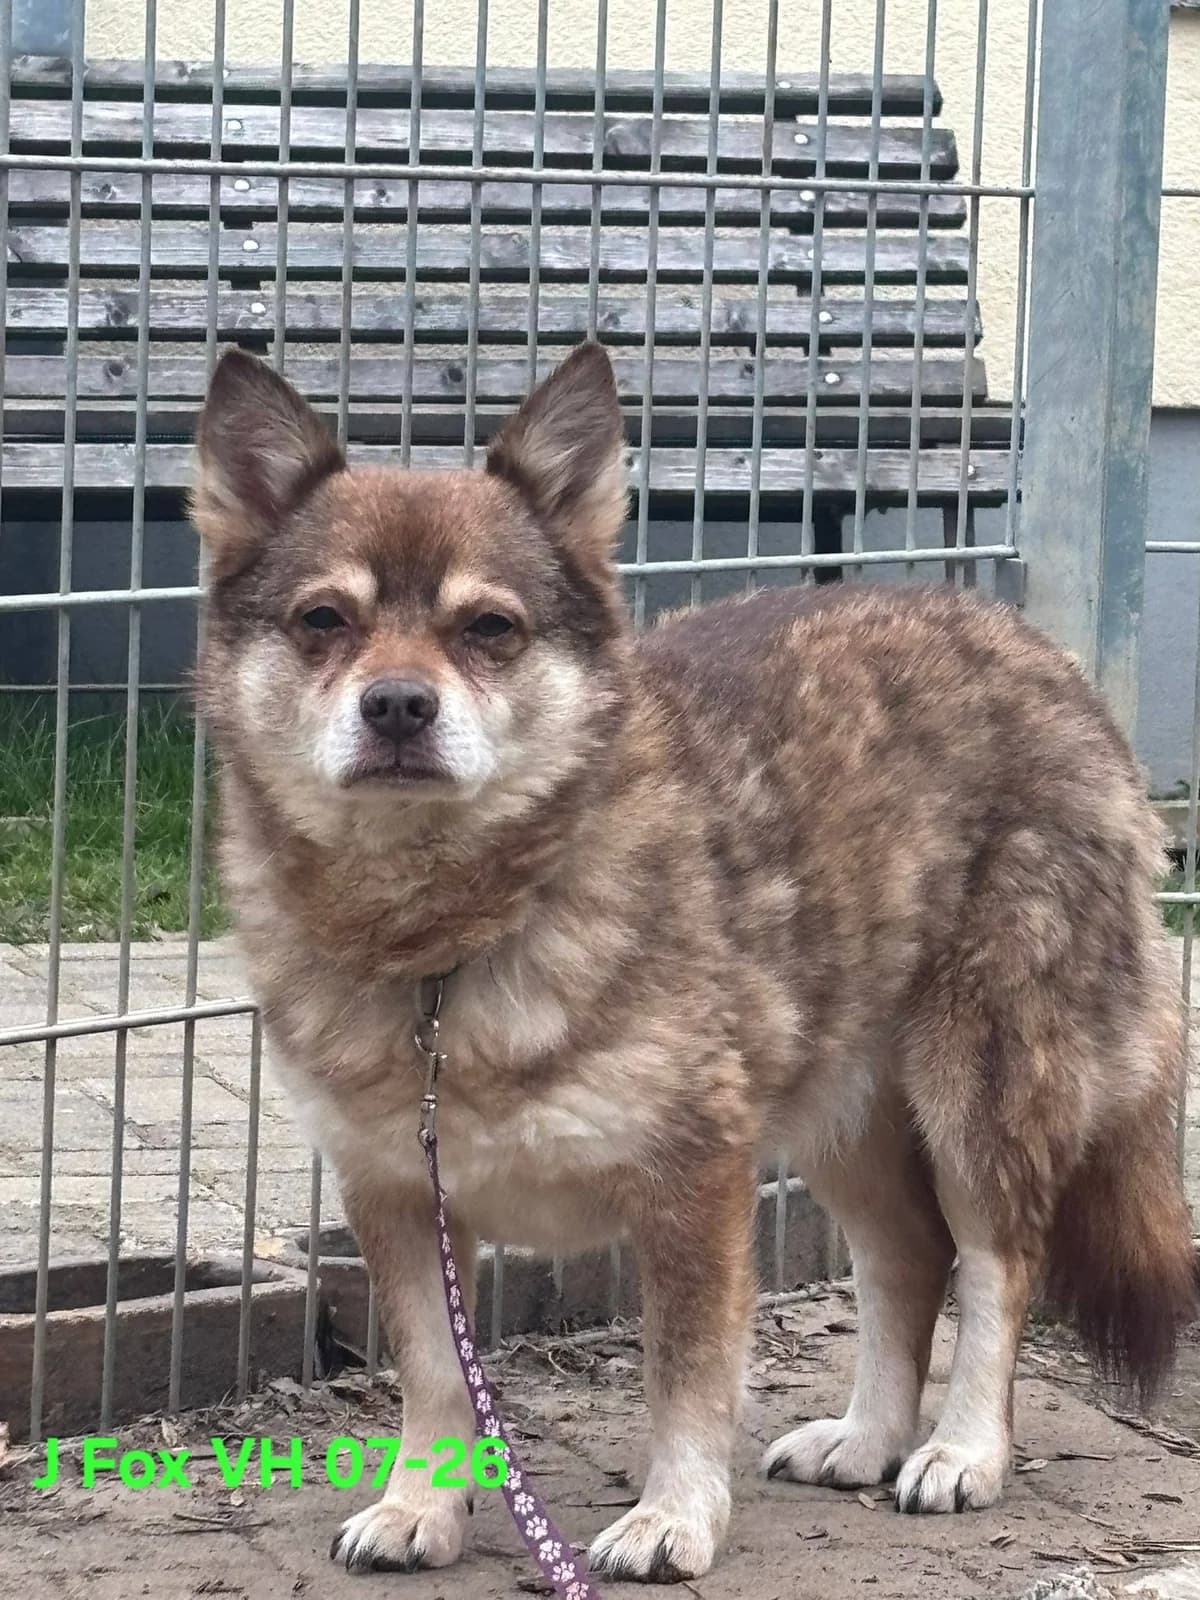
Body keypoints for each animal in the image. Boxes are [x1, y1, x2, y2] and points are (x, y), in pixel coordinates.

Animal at [191, 340, 1197, 1584]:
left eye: (490, 628)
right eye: (325, 617)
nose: (398, 706)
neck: (449, 941)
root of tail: (1044, 654)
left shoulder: (692, 1184)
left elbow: (685, 1376)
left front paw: (672, 1517)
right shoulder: (396, 1193)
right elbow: (434, 1375)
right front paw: (421, 1506)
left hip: (977, 1094)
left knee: (998, 1261)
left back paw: (962, 1451)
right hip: (841, 1114)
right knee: (907, 1264)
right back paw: (864, 1438)